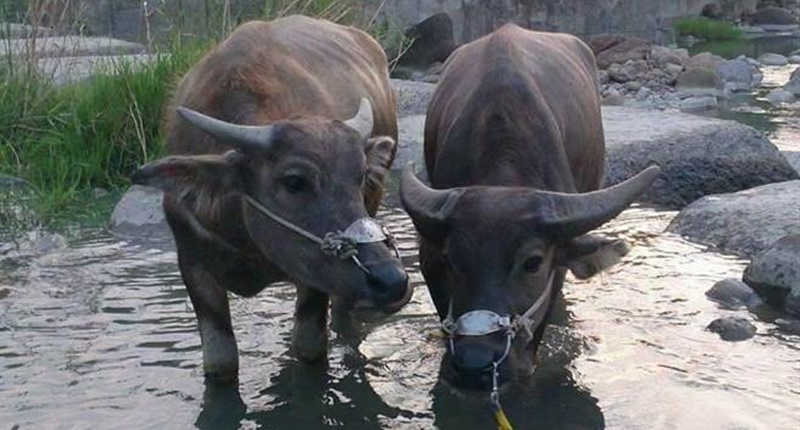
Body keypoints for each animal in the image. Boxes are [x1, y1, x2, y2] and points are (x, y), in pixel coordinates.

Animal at [130, 15, 412, 382]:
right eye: (294, 181)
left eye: (361, 175)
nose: (393, 281)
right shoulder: (192, 265)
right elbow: (220, 364)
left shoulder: (314, 275)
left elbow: (308, 349)